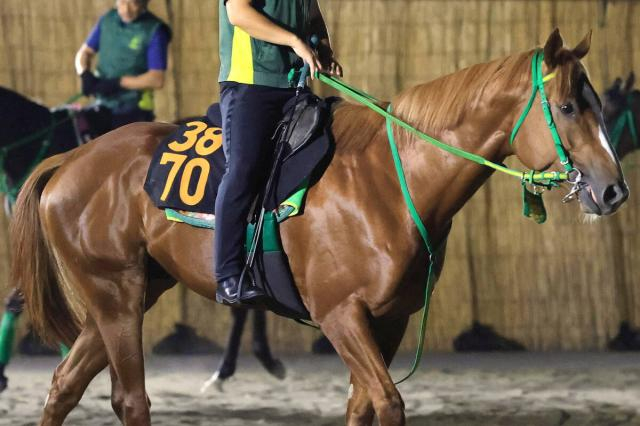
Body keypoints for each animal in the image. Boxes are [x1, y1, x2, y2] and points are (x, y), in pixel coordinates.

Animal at [11, 29, 627, 425]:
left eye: (598, 102)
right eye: (568, 107)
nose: (613, 190)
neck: (387, 182)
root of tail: (72, 160)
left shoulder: (388, 321)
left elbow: (362, 405)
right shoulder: (339, 315)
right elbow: (388, 403)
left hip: (128, 296)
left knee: (65, 386)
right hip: (115, 294)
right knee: (131, 400)